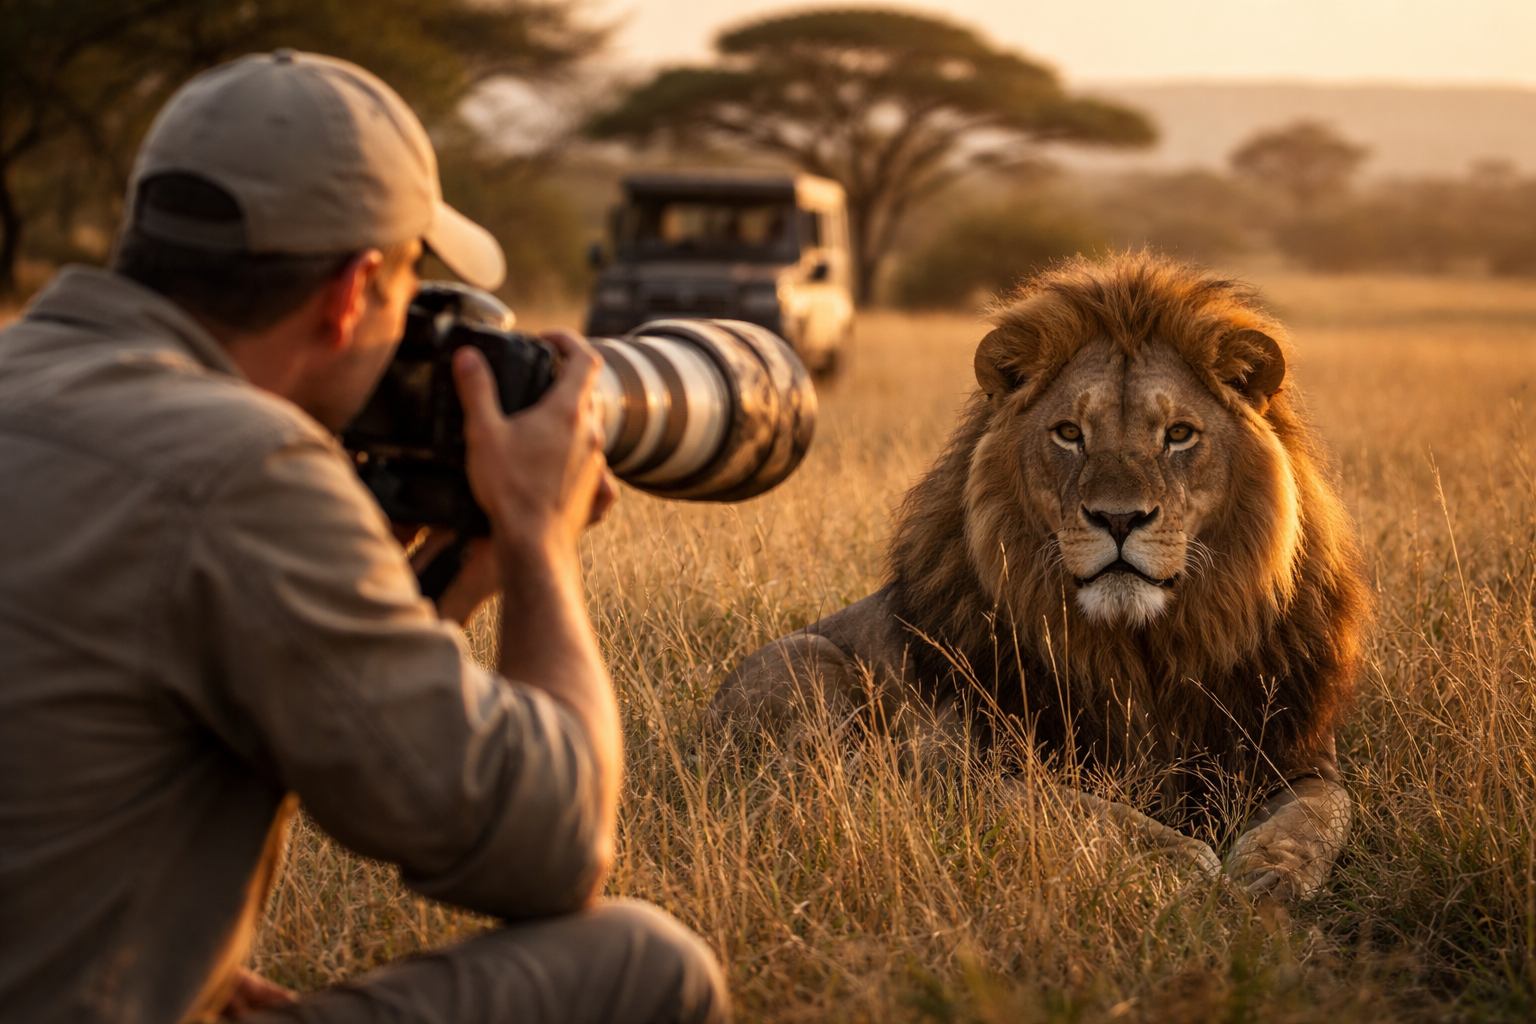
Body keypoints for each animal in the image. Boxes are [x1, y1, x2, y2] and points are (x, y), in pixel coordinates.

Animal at [714, 252, 1370, 900]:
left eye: (1180, 434)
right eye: (1070, 433)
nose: (1119, 518)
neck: (1145, 651)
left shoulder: (1298, 754)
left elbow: (1325, 812)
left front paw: (1270, 875)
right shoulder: (949, 766)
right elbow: (1069, 807)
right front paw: (1172, 856)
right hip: (805, 664)